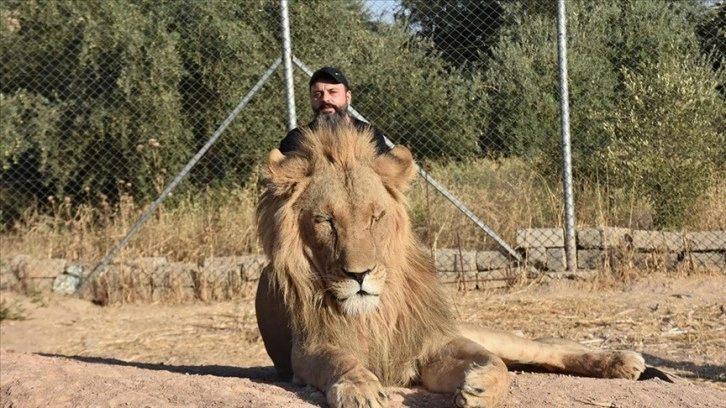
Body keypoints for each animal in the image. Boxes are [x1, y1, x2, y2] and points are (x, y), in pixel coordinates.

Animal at [258, 124, 648, 408]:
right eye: (326, 221)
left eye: (376, 217)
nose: (359, 275)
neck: (375, 314)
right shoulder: (308, 349)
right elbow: (339, 360)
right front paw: (360, 389)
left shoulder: (432, 343)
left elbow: (496, 364)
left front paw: (480, 389)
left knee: (545, 347)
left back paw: (622, 360)